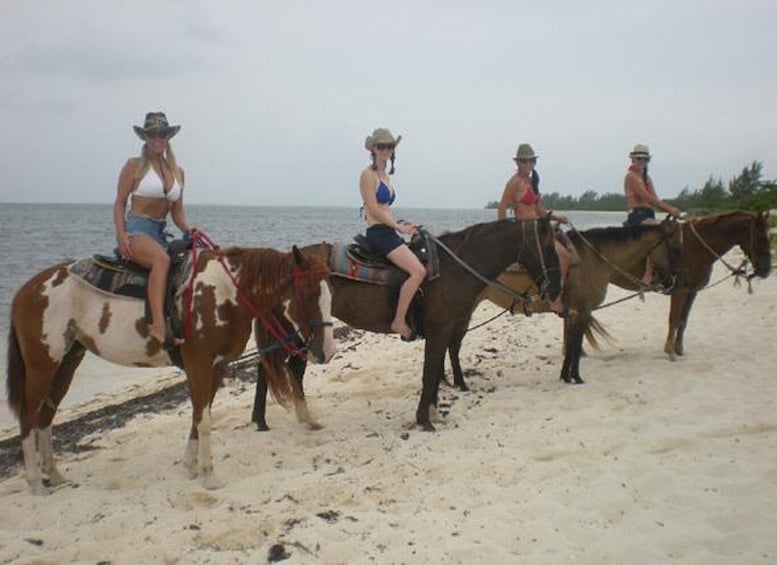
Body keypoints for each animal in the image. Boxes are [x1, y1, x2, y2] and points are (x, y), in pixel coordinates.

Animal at [6, 245, 334, 492]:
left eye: (330, 294)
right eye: (308, 294)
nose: (327, 351)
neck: (223, 292)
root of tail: (25, 290)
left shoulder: (217, 365)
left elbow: (199, 414)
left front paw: (190, 466)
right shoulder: (199, 363)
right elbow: (204, 419)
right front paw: (208, 474)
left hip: (67, 362)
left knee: (45, 416)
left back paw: (54, 474)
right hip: (41, 364)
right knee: (28, 416)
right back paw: (35, 481)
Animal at [255, 218, 564, 430]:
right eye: (549, 248)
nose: (556, 288)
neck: (454, 268)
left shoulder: (446, 331)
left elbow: (436, 371)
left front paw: (434, 412)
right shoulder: (440, 331)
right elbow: (429, 373)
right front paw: (424, 420)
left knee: (278, 368)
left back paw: (275, 419)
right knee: (283, 368)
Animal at [612, 209, 768, 360]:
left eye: (770, 237)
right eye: (761, 237)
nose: (766, 270)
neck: (696, 248)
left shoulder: (692, 291)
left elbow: (683, 320)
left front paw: (678, 349)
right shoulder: (679, 291)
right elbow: (673, 319)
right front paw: (670, 351)